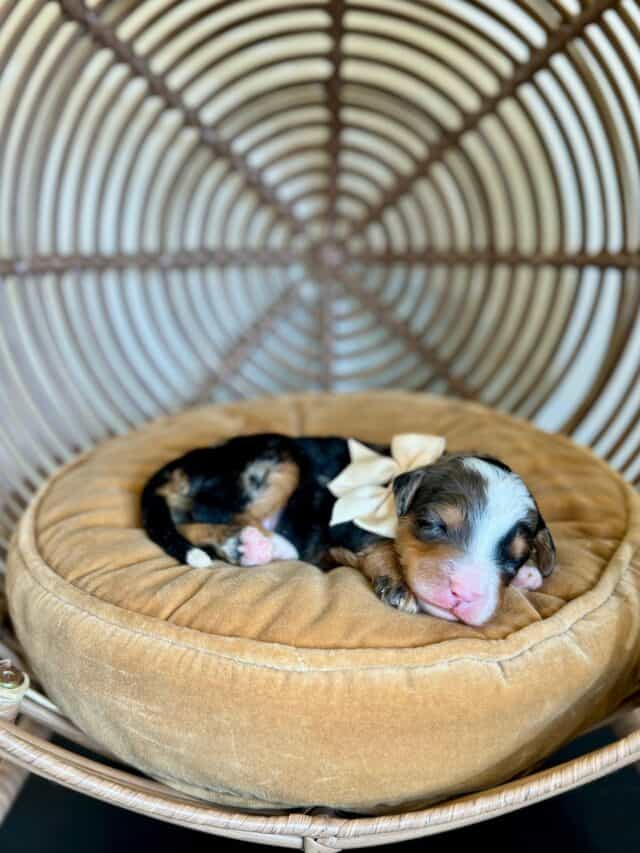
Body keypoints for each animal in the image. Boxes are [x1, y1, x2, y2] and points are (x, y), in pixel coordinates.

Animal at [141, 432, 556, 624]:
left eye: (515, 559)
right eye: (431, 525)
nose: (466, 594)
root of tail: (182, 464)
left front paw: (529, 576)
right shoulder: (341, 529)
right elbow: (379, 545)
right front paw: (399, 587)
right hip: (274, 460)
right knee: (200, 521)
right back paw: (256, 545)